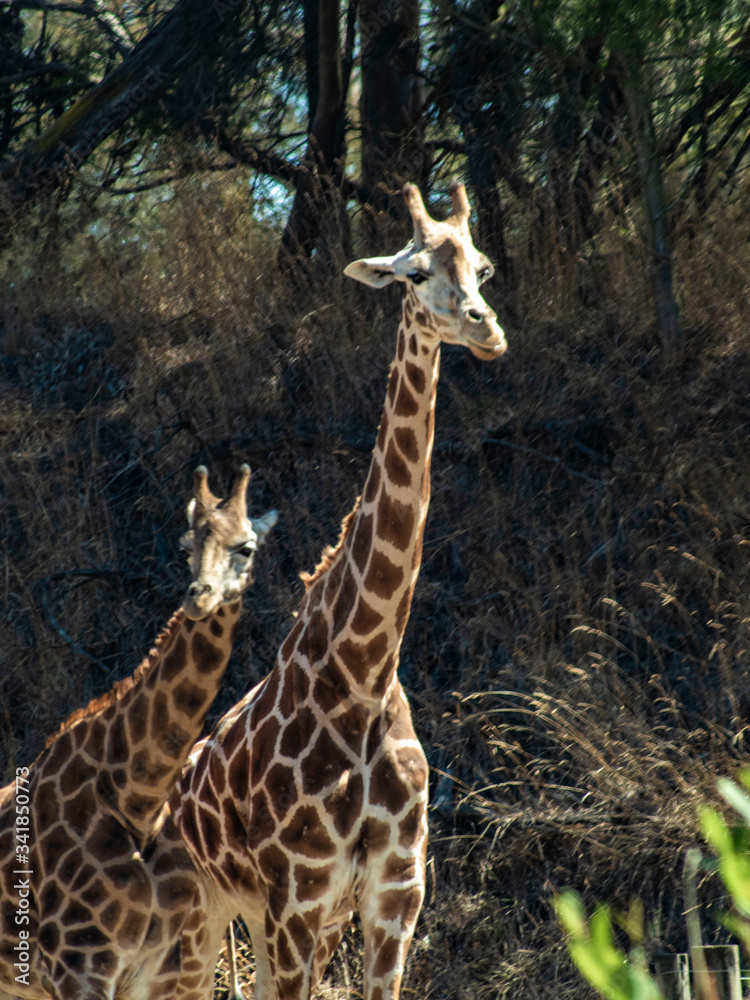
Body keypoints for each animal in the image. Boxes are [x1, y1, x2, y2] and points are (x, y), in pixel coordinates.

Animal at [0, 464, 276, 1000]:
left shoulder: (155, 969)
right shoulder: (77, 966)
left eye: (246, 547)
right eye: (186, 545)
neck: (137, 797)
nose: (199, 596)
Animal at [165, 181, 506, 1000]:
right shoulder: (303, 896)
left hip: (263, 920)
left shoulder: (395, 898)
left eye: (481, 266)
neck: (363, 676)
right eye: (415, 273)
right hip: (206, 914)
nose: (487, 330)